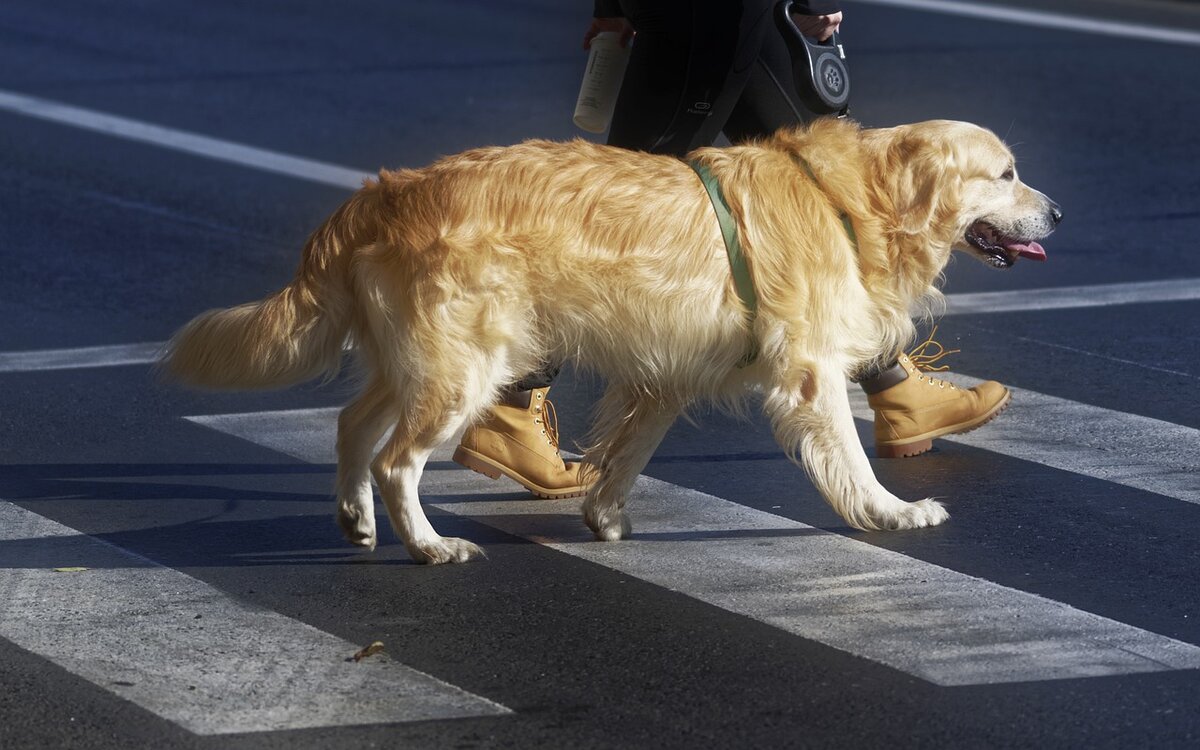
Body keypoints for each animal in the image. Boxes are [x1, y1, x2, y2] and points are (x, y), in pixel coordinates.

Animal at [159, 118, 1060, 561]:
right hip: (462, 367)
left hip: (417, 358)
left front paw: (605, 519)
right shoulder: (809, 372)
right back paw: (429, 546)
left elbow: (627, 453)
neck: (854, 199)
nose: (1057, 213)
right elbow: (850, 458)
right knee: (396, 460)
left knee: (353, 427)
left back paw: (357, 522)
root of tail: (384, 192)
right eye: (1007, 173)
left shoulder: (667, 374)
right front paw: (889, 512)